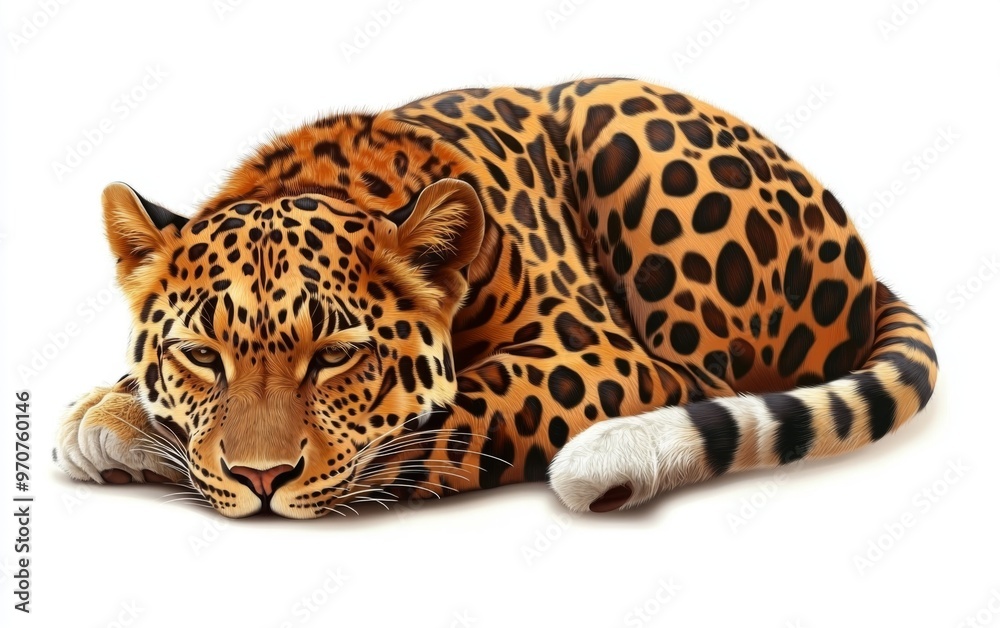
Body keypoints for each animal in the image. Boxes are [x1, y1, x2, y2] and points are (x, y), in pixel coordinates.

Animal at [54, 78, 938, 519]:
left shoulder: (594, 353)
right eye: (201, 356)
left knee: (712, 384)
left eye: (335, 358)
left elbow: (457, 417)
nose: (260, 479)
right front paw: (114, 411)